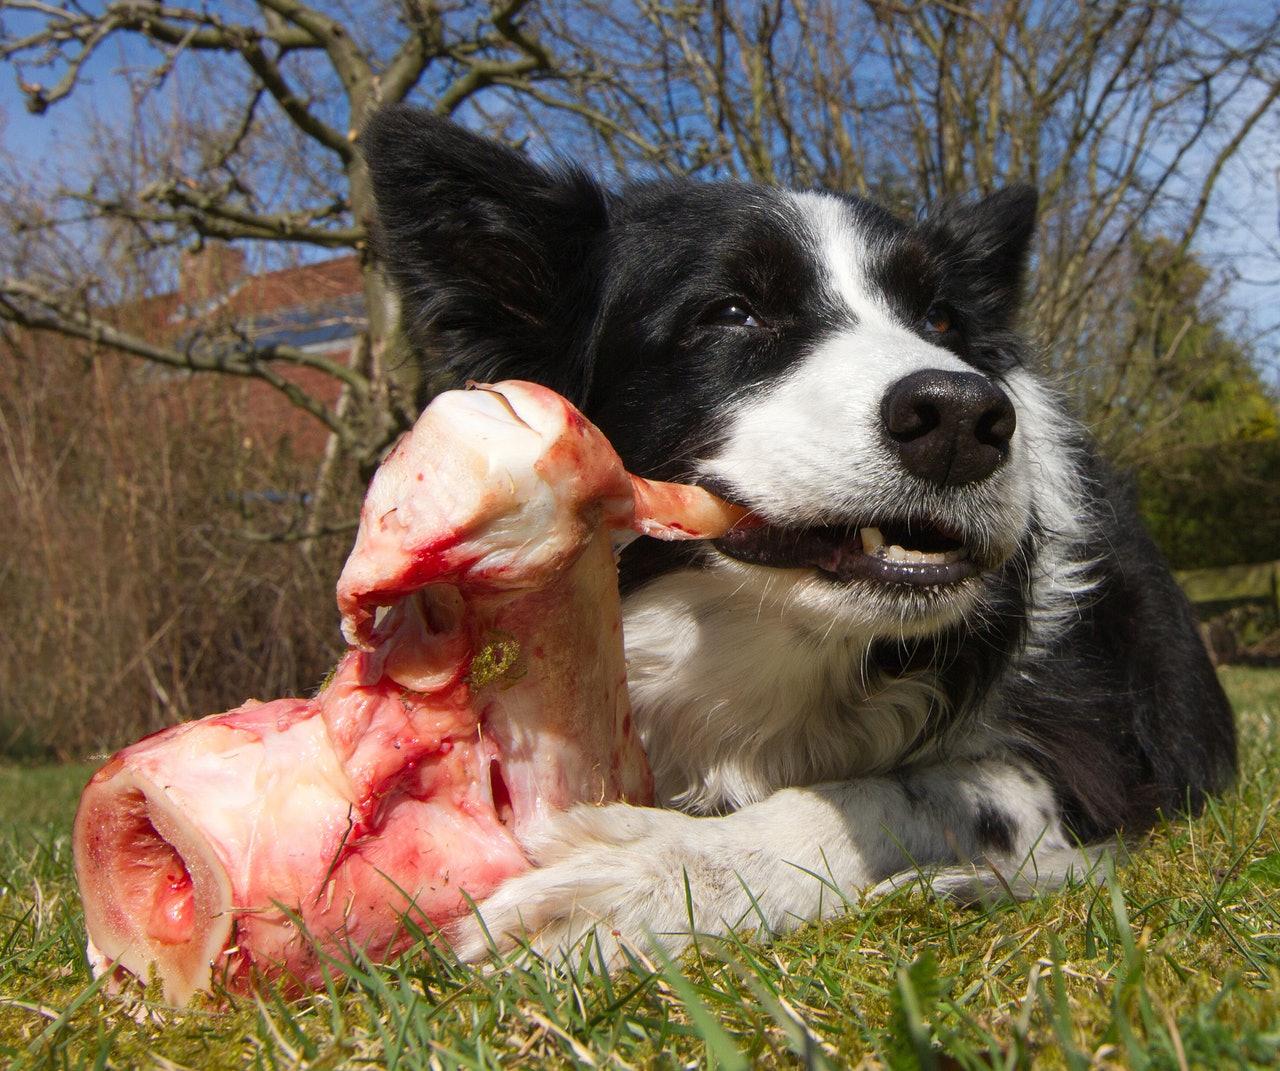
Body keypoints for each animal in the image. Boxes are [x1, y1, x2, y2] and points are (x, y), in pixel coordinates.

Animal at [355, 104, 1233, 967]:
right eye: (730, 312)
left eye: (940, 316)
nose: (962, 418)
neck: (782, 641)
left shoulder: (1093, 756)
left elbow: (900, 792)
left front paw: (651, 871)